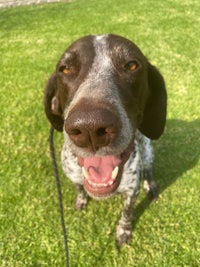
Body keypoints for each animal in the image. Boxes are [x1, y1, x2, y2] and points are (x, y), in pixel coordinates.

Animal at [44, 34, 167, 248]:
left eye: (132, 65)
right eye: (65, 69)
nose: (90, 129)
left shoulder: (131, 191)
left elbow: (126, 213)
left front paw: (123, 231)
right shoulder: (74, 176)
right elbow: (79, 189)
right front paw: (81, 200)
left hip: (147, 150)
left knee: (149, 169)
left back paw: (150, 185)